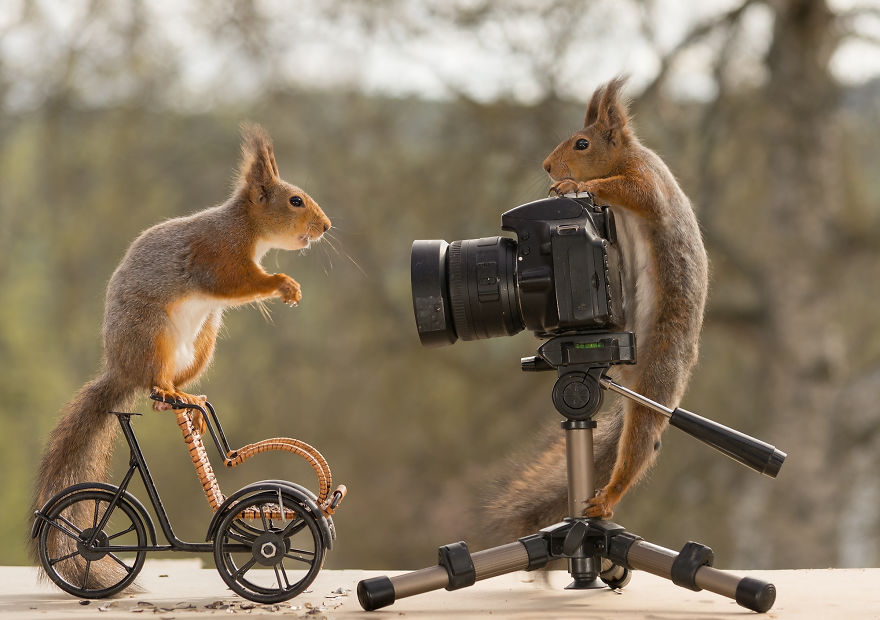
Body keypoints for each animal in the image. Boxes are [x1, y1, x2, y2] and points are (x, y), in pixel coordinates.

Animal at [30, 123, 331, 589]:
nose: (326, 226)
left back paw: (194, 401)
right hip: (153, 335)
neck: (246, 229)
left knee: (166, 390)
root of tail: (122, 369)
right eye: (295, 200)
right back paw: (176, 395)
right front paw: (284, 284)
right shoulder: (217, 255)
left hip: (204, 341)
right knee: (156, 386)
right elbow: (234, 282)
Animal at [486, 77, 708, 535]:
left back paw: (605, 500)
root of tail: (630, 380)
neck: (626, 155)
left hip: (661, 371)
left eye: (582, 144)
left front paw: (573, 188)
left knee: (640, 442)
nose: (548, 167)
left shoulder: (648, 182)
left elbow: (632, 191)